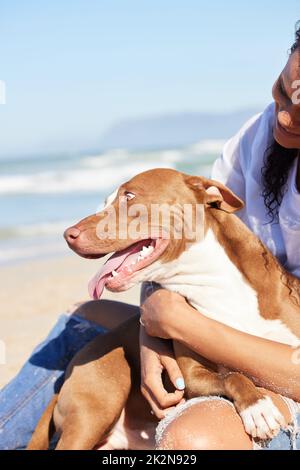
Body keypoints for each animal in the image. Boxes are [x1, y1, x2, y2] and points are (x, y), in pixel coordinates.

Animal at [27, 170, 300, 452]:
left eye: (129, 196)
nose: (68, 234)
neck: (215, 282)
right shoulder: (192, 377)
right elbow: (233, 376)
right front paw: (257, 407)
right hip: (95, 407)